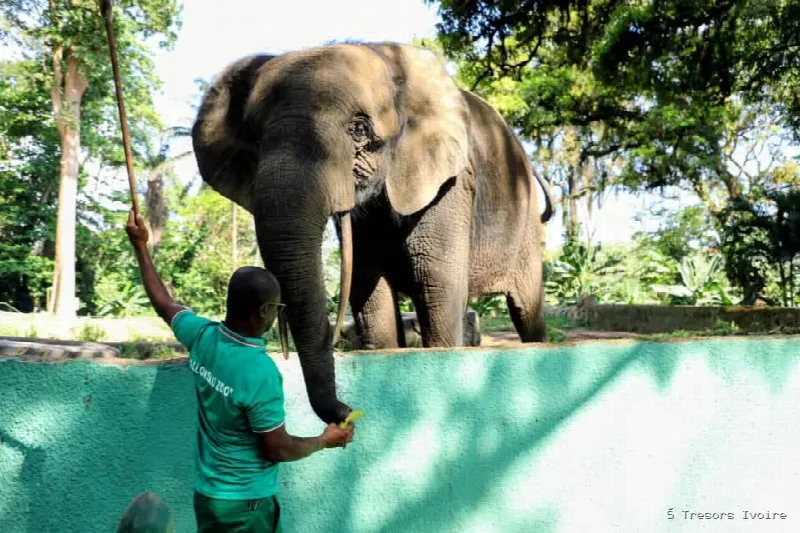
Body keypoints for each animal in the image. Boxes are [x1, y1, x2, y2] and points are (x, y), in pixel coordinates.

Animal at [191, 42, 554, 424]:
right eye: (255, 136)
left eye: (359, 129)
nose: (346, 412)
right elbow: (369, 287)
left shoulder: (452, 183)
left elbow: (436, 281)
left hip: (526, 225)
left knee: (526, 308)